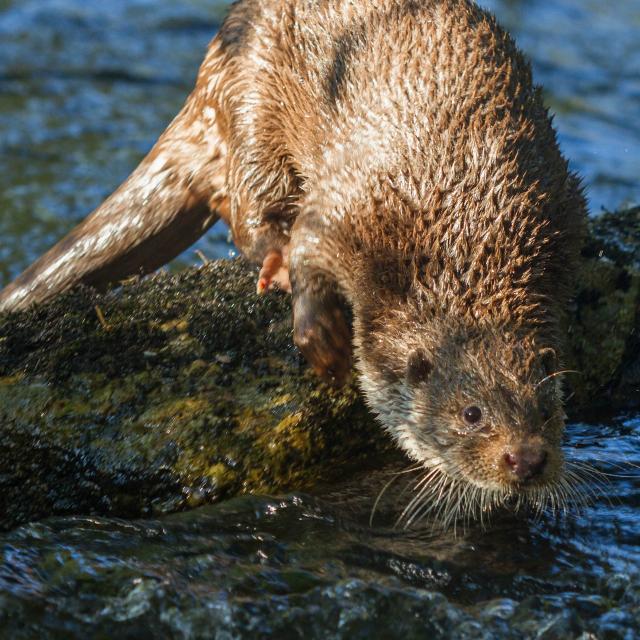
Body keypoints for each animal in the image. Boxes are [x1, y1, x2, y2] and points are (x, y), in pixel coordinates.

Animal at [0, 0, 588, 524]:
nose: (526, 459)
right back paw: (271, 259)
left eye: (547, 410)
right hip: (251, 96)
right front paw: (325, 346)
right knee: (244, 199)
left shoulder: (562, 209)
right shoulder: (354, 204)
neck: (466, 226)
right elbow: (308, 247)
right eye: (472, 414)